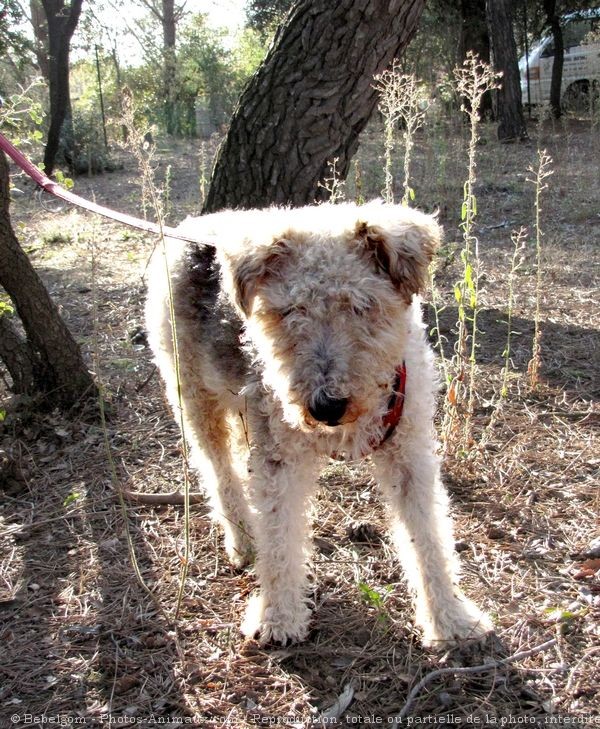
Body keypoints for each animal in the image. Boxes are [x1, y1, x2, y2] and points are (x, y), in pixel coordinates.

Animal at [145, 200, 492, 648]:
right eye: (290, 310)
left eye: (362, 304)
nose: (327, 406)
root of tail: (193, 226)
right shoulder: (281, 458)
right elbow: (279, 535)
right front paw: (277, 618)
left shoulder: (409, 450)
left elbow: (427, 535)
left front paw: (451, 619)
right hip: (193, 397)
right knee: (219, 475)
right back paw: (243, 541)